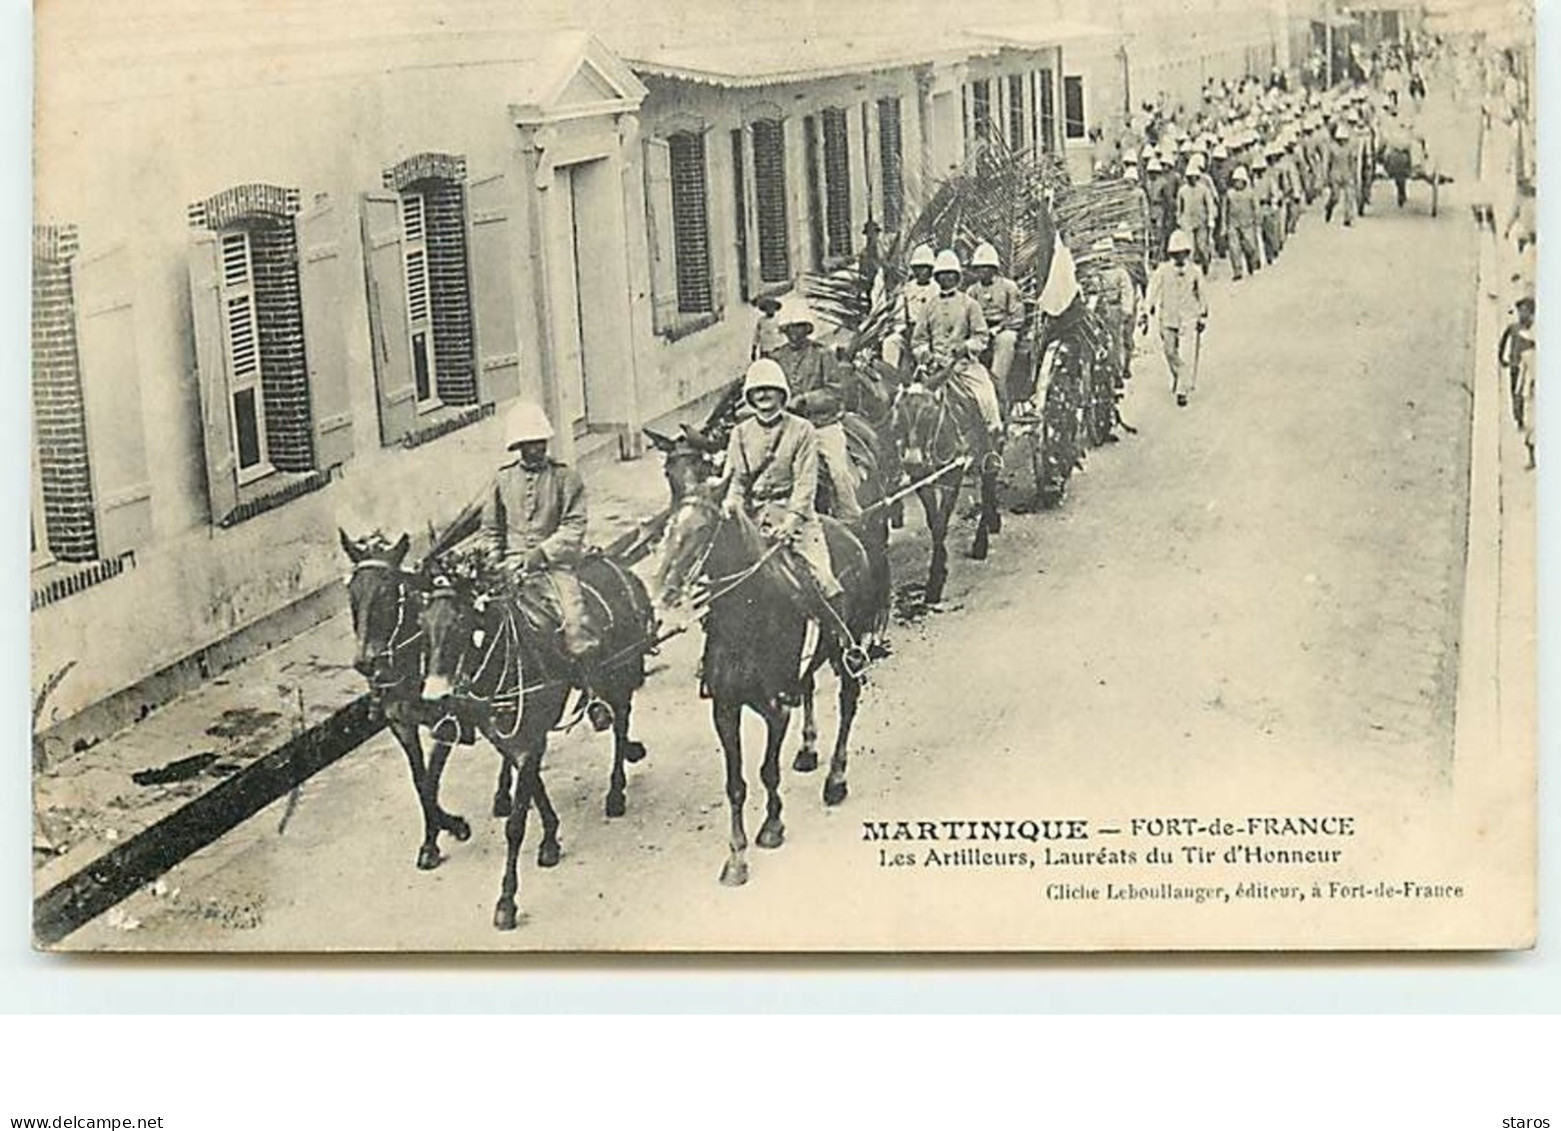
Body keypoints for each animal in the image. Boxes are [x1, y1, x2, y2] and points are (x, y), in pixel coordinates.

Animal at [344, 530, 477, 873]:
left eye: (387, 590)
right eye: (352, 592)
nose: (365, 662)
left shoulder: (447, 723)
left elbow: (430, 780)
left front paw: (440, 835)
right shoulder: (400, 724)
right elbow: (420, 781)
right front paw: (442, 829)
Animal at [418, 546, 655, 923]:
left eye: (459, 623)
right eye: (422, 625)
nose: (434, 699)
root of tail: (619, 566)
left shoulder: (531, 739)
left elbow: (515, 824)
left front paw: (506, 901)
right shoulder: (510, 739)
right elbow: (532, 787)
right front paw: (550, 839)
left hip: (622, 672)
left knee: (620, 726)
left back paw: (616, 791)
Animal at [649, 480, 892, 886]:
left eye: (702, 529)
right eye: (668, 527)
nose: (662, 593)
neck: (746, 617)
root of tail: (848, 533)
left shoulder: (776, 708)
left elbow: (767, 771)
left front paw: (772, 826)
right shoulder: (725, 709)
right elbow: (735, 786)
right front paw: (736, 857)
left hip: (848, 649)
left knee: (848, 702)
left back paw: (835, 780)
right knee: (808, 686)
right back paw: (808, 750)